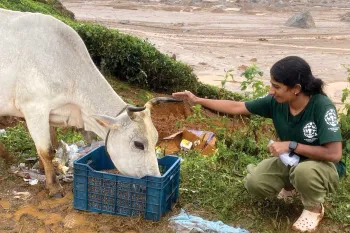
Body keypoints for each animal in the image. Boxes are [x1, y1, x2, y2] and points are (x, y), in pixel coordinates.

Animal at [0, 8, 180, 195]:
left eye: (156, 139)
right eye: (138, 144)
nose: (156, 178)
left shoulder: (51, 113)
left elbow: (53, 146)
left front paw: (47, 170)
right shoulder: (34, 107)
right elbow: (47, 150)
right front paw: (54, 186)